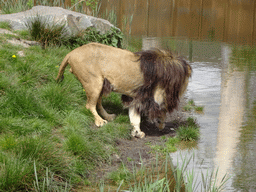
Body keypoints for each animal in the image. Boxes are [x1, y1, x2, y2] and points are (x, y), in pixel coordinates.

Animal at [56, 42, 192, 138]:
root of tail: (71, 53)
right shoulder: (156, 96)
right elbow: (159, 112)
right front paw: (159, 125)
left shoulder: (136, 97)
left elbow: (134, 116)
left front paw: (137, 131)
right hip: (94, 82)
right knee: (89, 105)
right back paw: (100, 121)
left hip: (101, 85)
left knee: (97, 104)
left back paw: (108, 116)